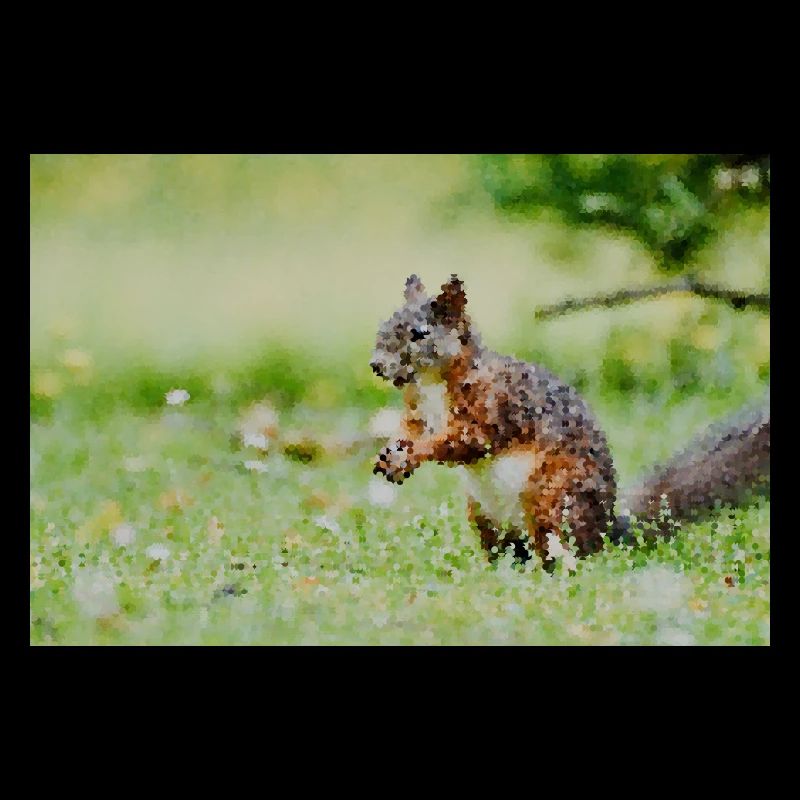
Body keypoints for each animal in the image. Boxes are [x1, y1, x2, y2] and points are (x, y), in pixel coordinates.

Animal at [371, 274, 770, 569]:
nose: (376, 365)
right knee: (508, 550)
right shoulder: (418, 412)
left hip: (552, 497)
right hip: (483, 515)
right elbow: (410, 429)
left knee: (561, 548)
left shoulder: (496, 407)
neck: (432, 384)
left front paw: (415, 453)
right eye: (385, 324)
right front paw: (392, 453)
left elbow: (466, 440)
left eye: (420, 333)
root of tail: (607, 530)